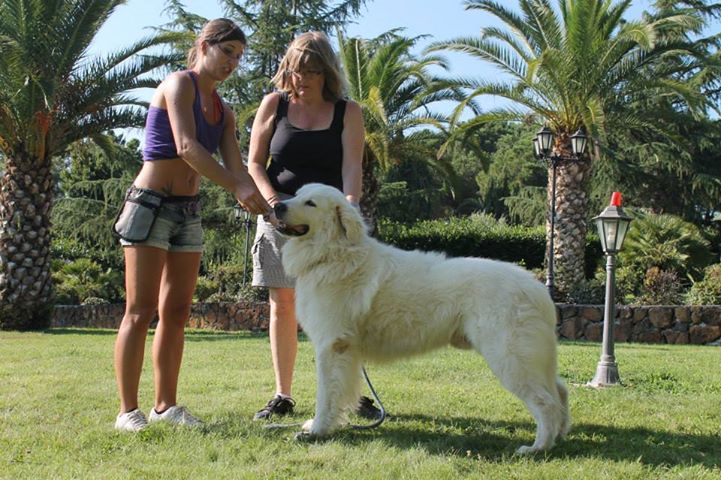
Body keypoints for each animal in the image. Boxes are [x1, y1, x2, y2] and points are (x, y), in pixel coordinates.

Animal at [273, 183, 570, 454]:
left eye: (310, 203)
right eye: (297, 194)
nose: (277, 205)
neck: (333, 252)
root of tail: (537, 288)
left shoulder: (333, 346)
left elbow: (326, 393)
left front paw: (318, 430)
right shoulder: (345, 352)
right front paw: (321, 426)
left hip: (510, 358)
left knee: (546, 402)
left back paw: (538, 447)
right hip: (531, 359)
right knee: (560, 391)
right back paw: (559, 435)